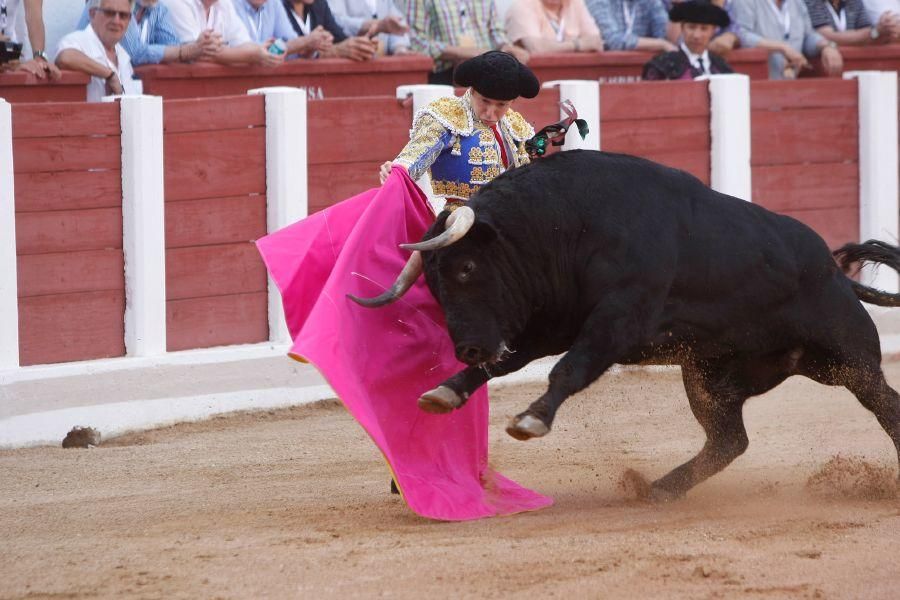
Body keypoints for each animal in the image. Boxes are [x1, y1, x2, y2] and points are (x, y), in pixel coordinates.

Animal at [350, 151, 900, 502]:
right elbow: (506, 365)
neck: (563, 226)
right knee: (729, 440)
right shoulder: (546, 326)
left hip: (850, 360)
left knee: (885, 404)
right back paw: (660, 489)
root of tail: (837, 275)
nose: (466, 348)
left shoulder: (617, 321)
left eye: (466, 269)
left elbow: (569, 371)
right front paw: (444, 392)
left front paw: (530, 420)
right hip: (708, 376)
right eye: (433, 285)